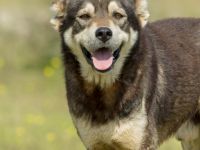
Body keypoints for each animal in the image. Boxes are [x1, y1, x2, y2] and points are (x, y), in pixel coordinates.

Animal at [50, 0, 200, 149]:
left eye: (118, 15)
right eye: (84, 16)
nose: (104, 33)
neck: (103, 88)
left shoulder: (141, 142)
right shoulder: (95, 144)